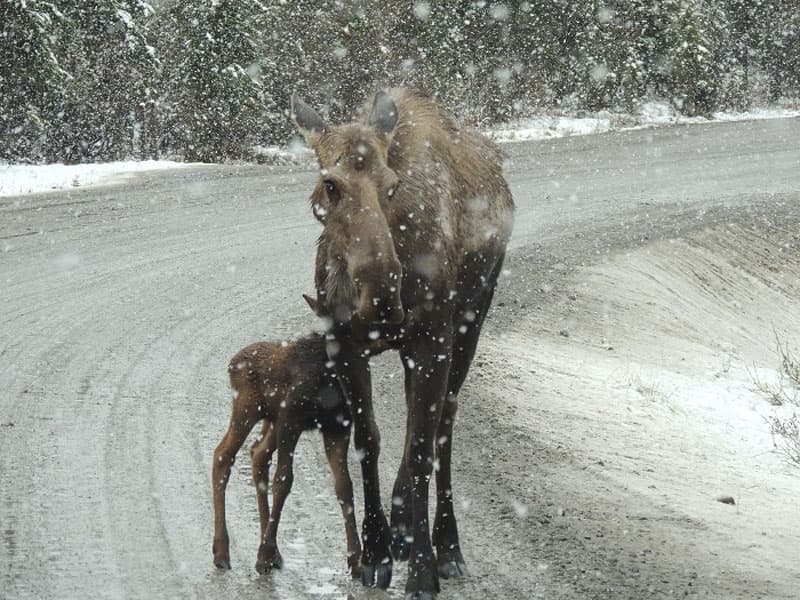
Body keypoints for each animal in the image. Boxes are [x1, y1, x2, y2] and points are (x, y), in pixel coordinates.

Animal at [214, 330, 360, 576]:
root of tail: (231, 364)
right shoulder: (291, 419)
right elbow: (283, 480)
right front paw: (263, 557)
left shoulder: (337, 426)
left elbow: (344, 485)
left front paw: (357, 561)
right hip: (248, 409)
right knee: (222, 455)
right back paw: (222, 553)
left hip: (270, 420)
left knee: (257, 453)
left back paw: (272, 552)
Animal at [292, 89, 512, 600]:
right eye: (330, 185)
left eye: (391, 185)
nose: (381, 292)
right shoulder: (344, 344)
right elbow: (368, 440)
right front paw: (375, 554)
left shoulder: (435, 336)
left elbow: (419, 449)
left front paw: (423, 572)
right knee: (419, 418)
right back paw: (401, 527)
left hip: (472, 318)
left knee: (442, 420)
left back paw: (446, 545)